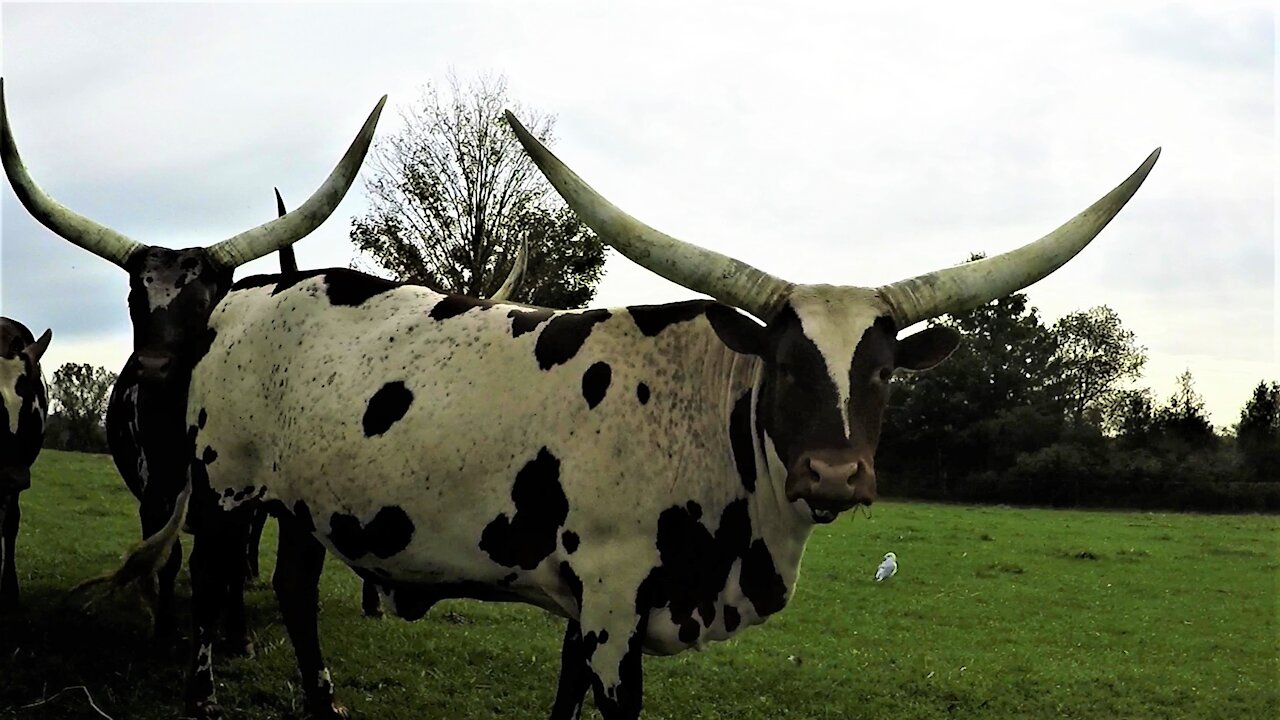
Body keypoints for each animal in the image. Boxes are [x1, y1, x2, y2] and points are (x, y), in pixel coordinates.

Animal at [0, 79, 384, 645]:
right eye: (134, 299)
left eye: (206, 301)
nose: (152, 368)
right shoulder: (153, 493)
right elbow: (169, 556)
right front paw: (164, 630)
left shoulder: (238, 499)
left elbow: (227, 562)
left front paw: (237, 635)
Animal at [92, 109, 1162, 712]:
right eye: (781, 362)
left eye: (885, 371)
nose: (834, 473)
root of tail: (250, 297)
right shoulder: (610, 607)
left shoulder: (587, 606)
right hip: (224, 496)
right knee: (210, 591)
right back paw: (201, 697)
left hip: (307, 506)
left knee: (298, 594)